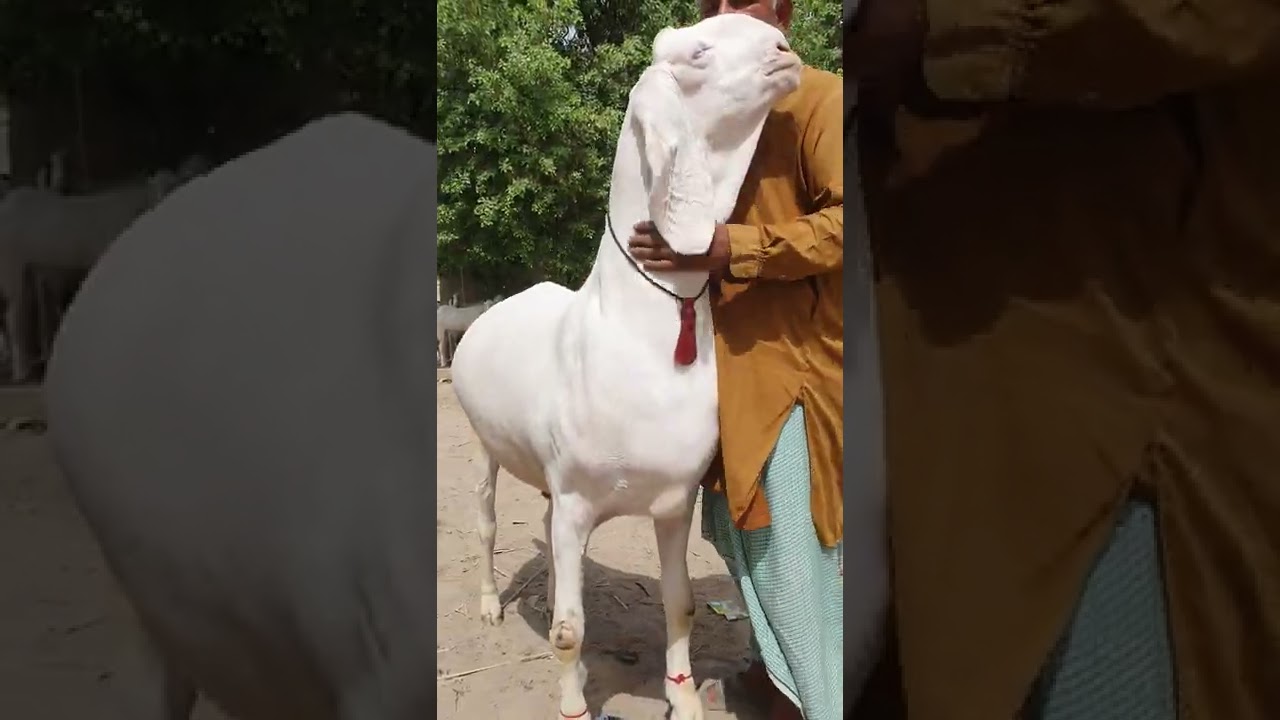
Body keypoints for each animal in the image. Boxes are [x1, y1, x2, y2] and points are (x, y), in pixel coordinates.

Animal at [449, 14, 802, 720]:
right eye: (696, 51)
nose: (784, 49)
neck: (638, 331)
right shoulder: (577, 497)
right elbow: (568, 629)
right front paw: (574, 706)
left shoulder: (672, 503)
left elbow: (681, 604)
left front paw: (685, 699)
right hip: (483, 444)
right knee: (486, 518)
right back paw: (491, 605)